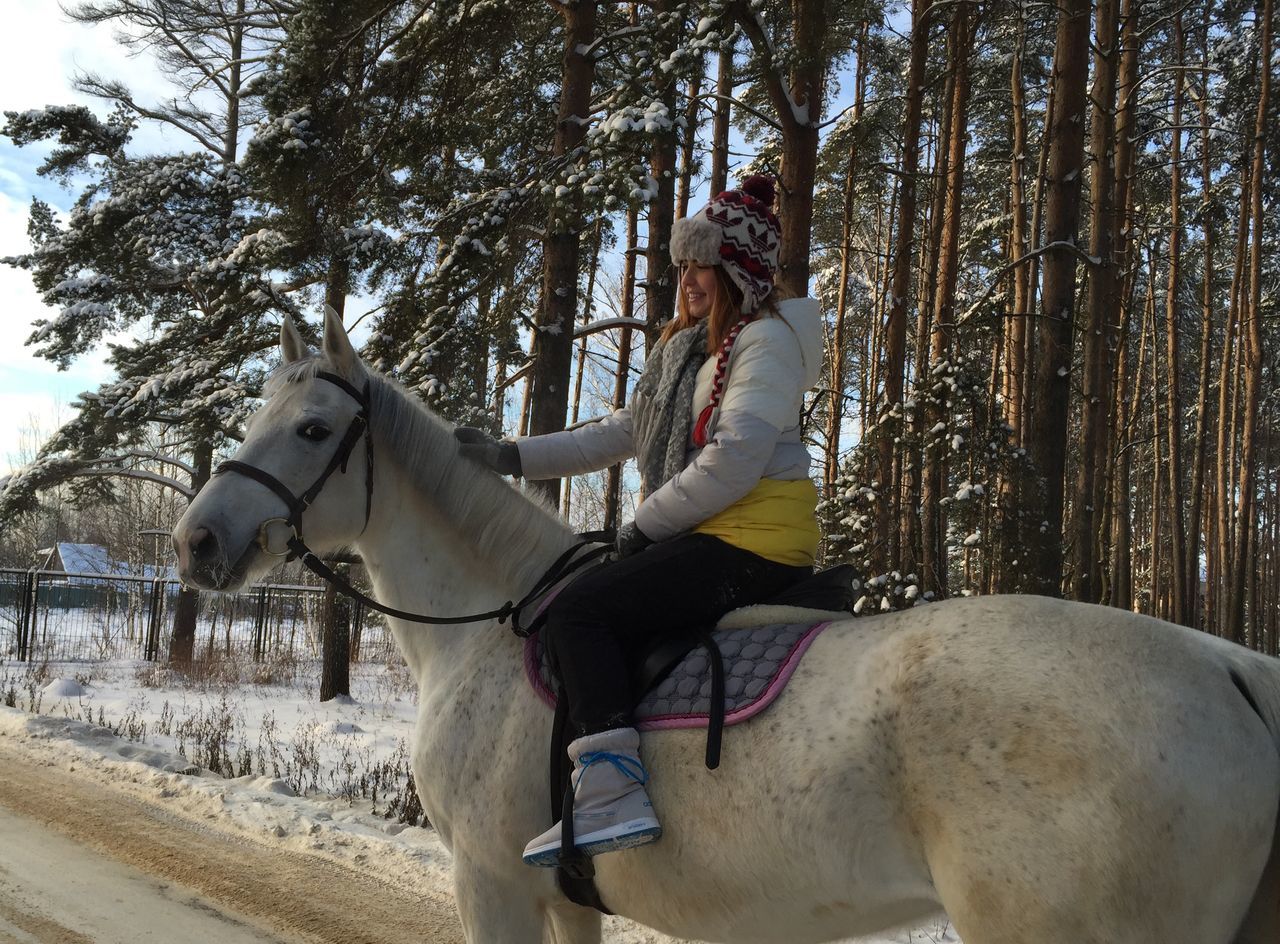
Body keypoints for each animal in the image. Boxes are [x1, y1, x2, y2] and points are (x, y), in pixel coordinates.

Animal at [175, 305, 1280, 936]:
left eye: (312, 427)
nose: (195, 540)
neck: (488, 626)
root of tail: (1231, 673)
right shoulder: (564, 899)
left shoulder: (490, 885)